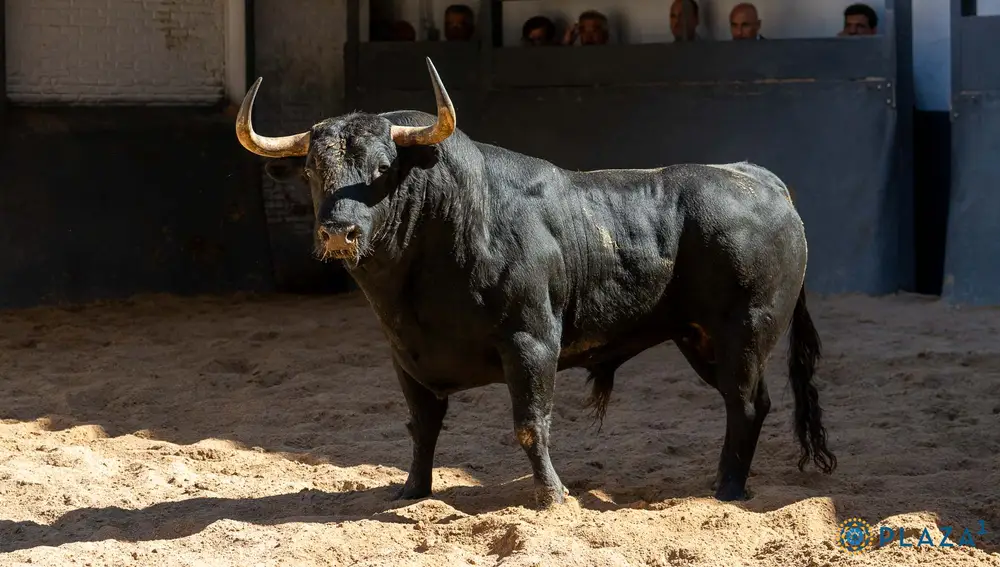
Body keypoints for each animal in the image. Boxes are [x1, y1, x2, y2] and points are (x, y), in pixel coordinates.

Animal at [234, 58, 836, 507]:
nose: (339, 232)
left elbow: (531, 423)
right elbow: (422, 427)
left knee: (745, 404)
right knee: (751, 403)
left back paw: (727, 489)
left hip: (745, 331)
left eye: (384, 169)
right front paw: (412, 491)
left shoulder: (531, 342)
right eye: (312, 171)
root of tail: (760, 179)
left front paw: (552, 497)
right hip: (699, 339)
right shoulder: (405, 356)